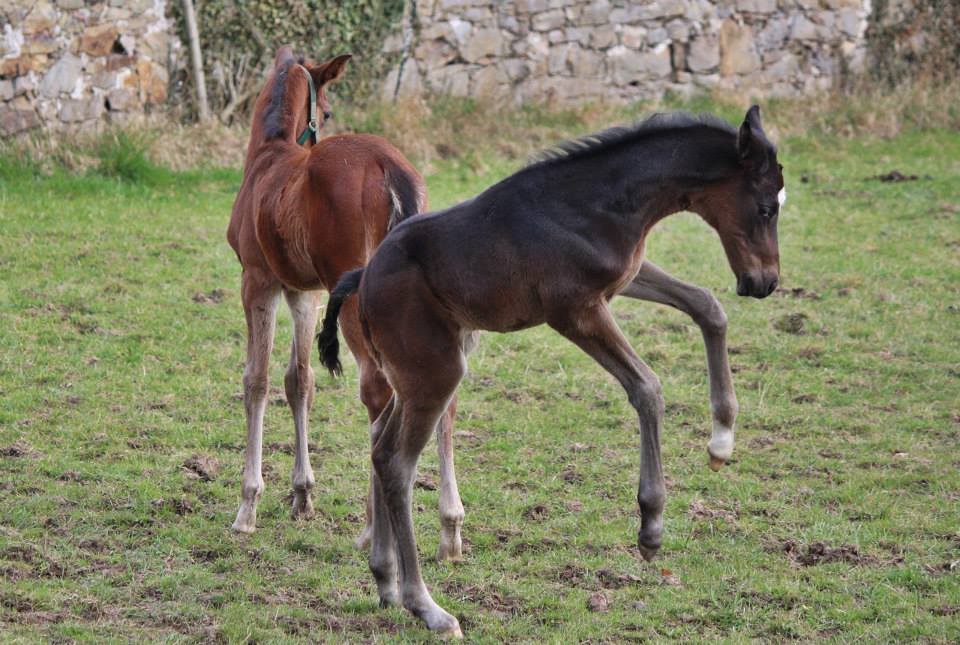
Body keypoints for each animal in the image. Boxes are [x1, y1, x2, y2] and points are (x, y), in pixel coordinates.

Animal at [318, 105, 784, 632]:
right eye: (766, 207)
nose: (764, 282)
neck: (600, 202)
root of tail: (365, 279)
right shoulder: (575, 311)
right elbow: (647, 387)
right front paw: (651, 527)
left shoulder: (622, 280)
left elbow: (707, 306)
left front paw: (722, 439)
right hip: (435, 373)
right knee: (397, 462)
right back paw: (428, 607)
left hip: (413, 374)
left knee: (379, 443)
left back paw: (384, 579)